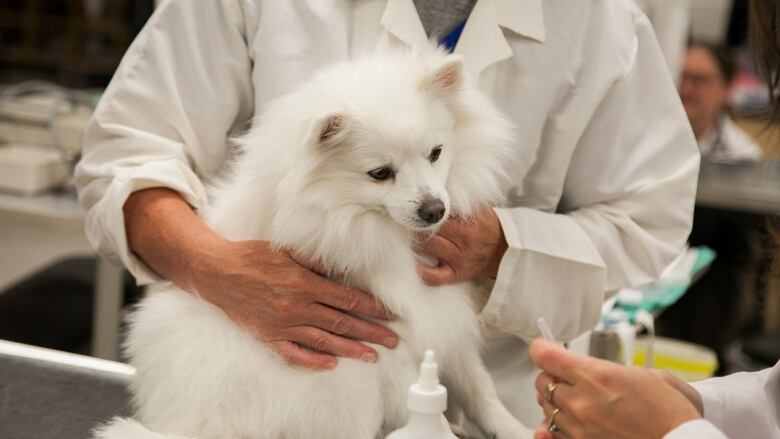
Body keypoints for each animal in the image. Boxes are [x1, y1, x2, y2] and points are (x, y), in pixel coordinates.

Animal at [97, 48, 532, 439]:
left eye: (436, 154)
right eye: (380, 173)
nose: (434, 210)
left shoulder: (446, 317)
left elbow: (478, 386)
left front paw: (514, 428)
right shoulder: (381, 344)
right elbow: (419, 400)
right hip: (341, 382)